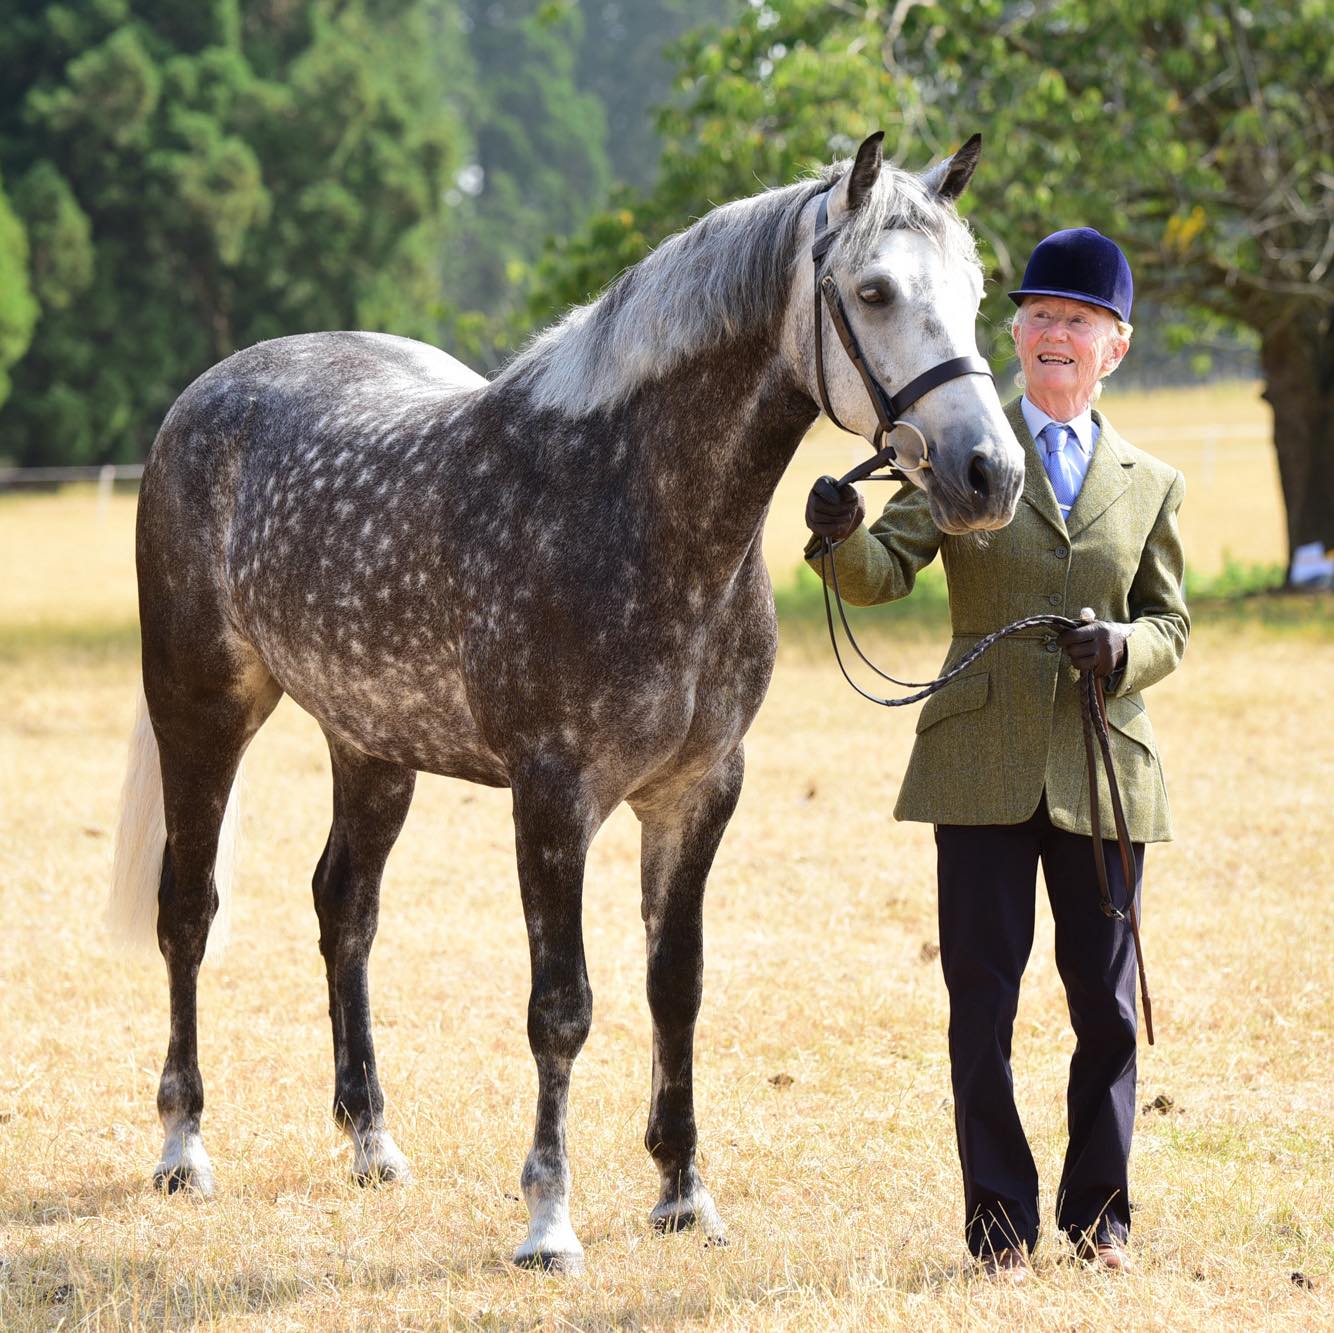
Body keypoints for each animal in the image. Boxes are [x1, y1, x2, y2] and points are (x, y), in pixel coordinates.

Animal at [109, 130, 1025, 1273]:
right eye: (873, 290)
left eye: (979, 291)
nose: (989, 473)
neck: (631, 504)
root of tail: (204, 396)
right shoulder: (552, 796)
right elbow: (562, 1006)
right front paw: (548, 1219)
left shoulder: (697, 792)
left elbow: (674, 988)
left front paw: (683, 1195)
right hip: (202, 708)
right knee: (187, 911)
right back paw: (182, 1145)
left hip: (371, 744)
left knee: (344, 910)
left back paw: (372, 1140)